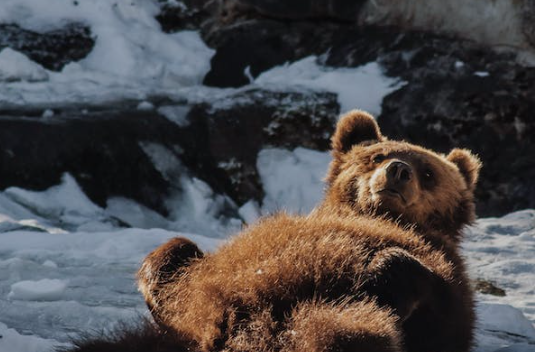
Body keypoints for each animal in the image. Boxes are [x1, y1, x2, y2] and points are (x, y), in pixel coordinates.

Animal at [133, 110, 482, 352]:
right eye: (376, 156)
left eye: (429, 172)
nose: (398, 170)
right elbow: (175, 254)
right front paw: (158, 285)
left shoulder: (447, 282)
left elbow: (430, 303)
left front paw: (377, 278)